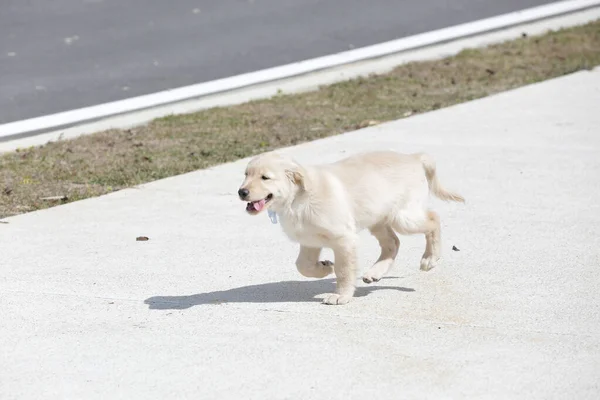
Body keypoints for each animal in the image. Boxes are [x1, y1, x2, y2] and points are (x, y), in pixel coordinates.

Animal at [239, 149, 464, 304]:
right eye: (246, 174)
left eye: (265, 177)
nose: (241, 192)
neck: (297, 200)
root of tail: (413, 157)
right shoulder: (309, 240)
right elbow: (302, 266)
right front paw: (324, 267)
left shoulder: (344, 239)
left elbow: (344, 270)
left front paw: (342, 296)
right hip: (377, 218)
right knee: (393, 243)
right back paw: (375, 273)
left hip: (403, 217)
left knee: (433, 218)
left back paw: (430, 258)